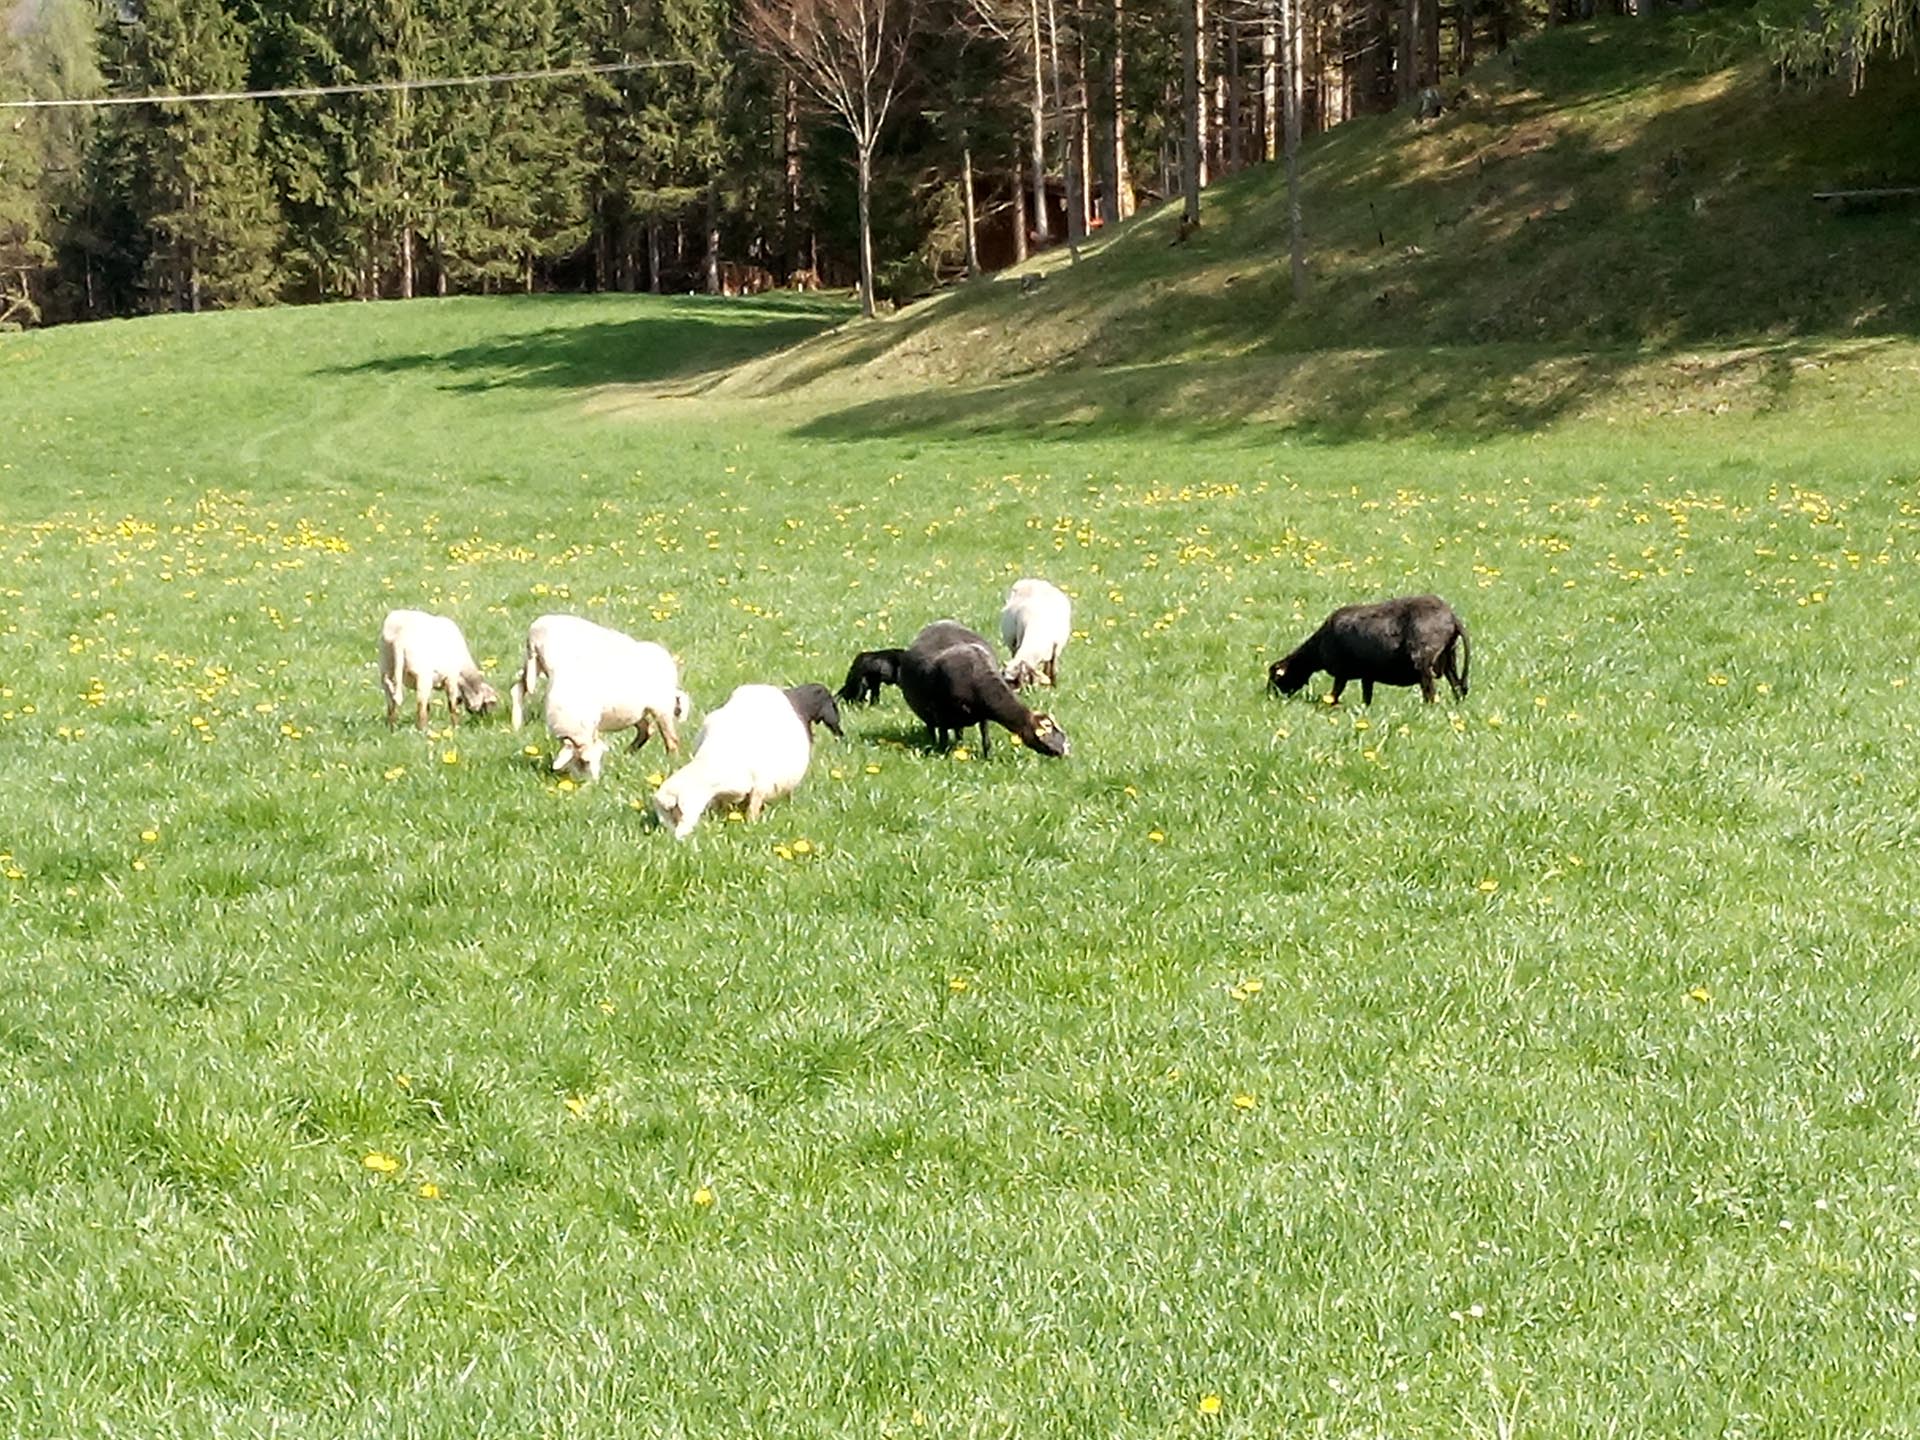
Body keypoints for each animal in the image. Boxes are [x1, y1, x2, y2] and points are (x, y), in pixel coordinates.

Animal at [898, 620, 1070, 758]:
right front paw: (942, 754)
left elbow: (985, 738)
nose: (1066, 752)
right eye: (1050, 730)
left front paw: (987, 758)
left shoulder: (983, 714)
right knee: (931, 728)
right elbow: (943, 738)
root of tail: (941, 622)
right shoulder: (941, 713)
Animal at [1267, 594, 1470, 705]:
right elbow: (1366, 697)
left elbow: (1335, 694)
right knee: (1457, 686)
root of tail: (1451, 617)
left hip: (1423, 659)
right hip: (1449, 656)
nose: (1270, 696)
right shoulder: (1367, 674)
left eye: (1276, 677)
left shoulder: (1342, 672)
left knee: (1430, 693)